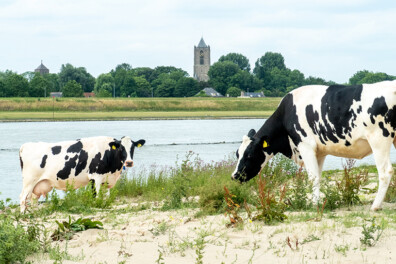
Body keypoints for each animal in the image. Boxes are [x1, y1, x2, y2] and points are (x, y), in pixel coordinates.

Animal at [232, 80, 396, 210]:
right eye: (237, 153)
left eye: (249, 154)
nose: (235, 175)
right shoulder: (319, 152)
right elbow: (318, 175)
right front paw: (314, 201)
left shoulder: (305, 145)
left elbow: (312, 177)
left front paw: (314, 204)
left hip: (379, 139)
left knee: (385, 172)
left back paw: (375, 206)